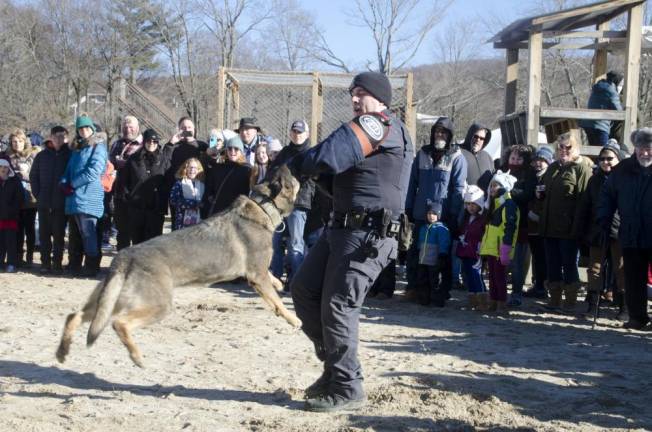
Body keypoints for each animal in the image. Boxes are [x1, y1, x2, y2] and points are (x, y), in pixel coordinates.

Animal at [56, 165, 300, 368]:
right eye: (288, 178)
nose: (287, 162)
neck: (263, 207)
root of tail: (124, 258)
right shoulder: (256, 276)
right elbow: (278, 302)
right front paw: (293, 319)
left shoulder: (259, 272)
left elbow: (273, 277)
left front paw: (280, 284)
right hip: (157, 306)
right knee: (120, 324)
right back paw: (137, 357)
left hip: (110, 303)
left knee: (73, 316)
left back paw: (62, 352)